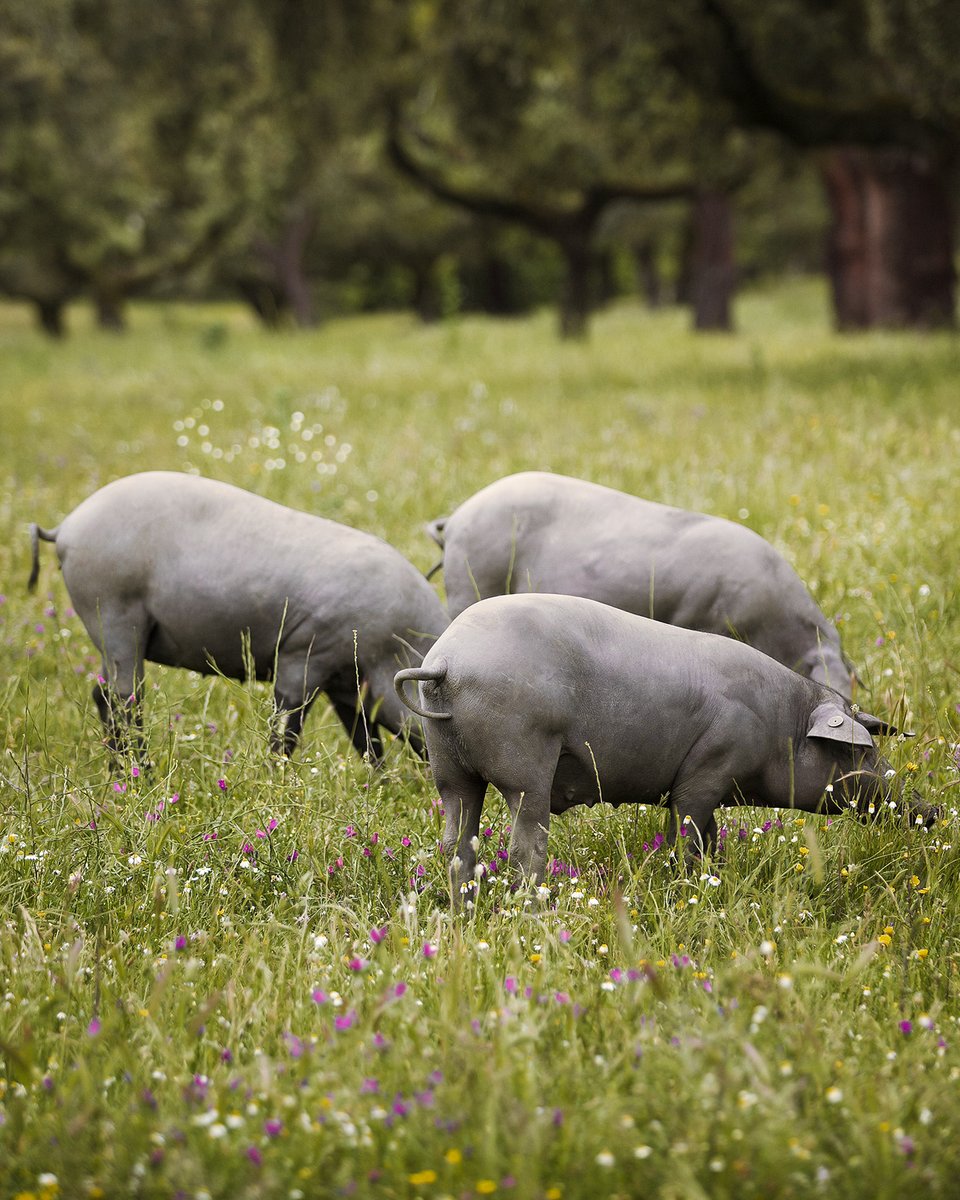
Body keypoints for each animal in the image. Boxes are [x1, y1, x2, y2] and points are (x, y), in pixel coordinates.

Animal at [29, 472, 448, 760]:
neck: (390, 649)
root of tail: (66, 526)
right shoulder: (305, 654)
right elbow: (287, 728)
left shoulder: (345, 683)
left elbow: (366, 740)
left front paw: (380, 785)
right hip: (114, 613)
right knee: (122, 699)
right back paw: (138, 776)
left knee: (103, 695)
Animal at [395, 593, 923, 899]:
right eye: (861, 751)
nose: (930, 810)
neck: (783, 726)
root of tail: (446, 661)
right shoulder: (708, 771)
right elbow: (686, 834)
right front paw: (687, 884)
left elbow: (708, 837)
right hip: (523, 764)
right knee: (525, 843)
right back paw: (532, 907)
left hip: (449, 769)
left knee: (455, 839)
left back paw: (462, 909)